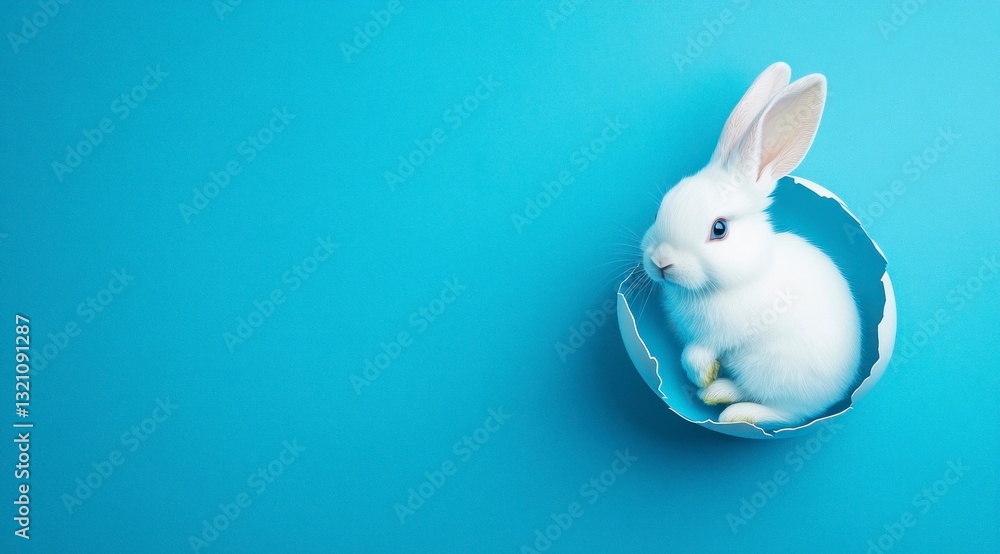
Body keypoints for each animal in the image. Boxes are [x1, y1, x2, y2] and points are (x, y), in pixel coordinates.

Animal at [640, 62, 860, 426]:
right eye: (659, 211)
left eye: (719, 229)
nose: (661, 263)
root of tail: (835, 398)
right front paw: (705, 379)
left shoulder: (719, 336)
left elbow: (694, 353)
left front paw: (703, 375)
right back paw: (718, 393)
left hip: (771, 370)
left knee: (784, 413)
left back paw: (735, 410)